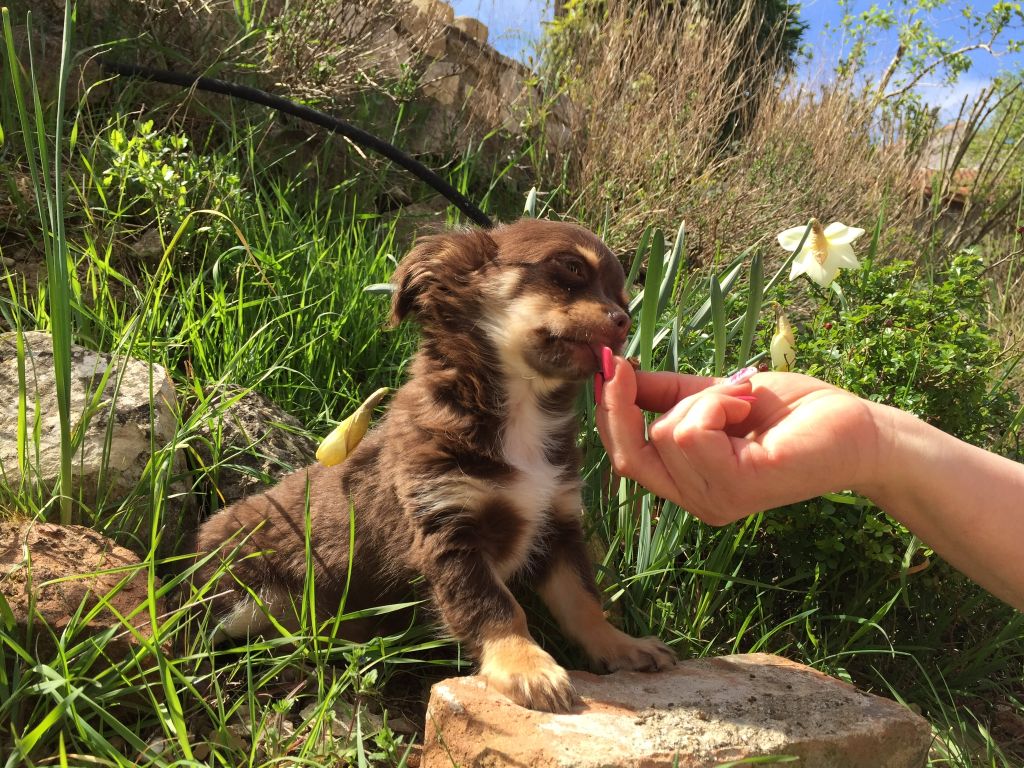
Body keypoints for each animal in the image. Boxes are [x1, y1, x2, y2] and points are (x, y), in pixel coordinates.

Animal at [197, 219, 679, 712]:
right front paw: (526, 667)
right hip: (237, 597)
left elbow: (582, 599)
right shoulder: (448, 529)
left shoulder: (557, 523)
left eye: (622, 298)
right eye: (571, 269)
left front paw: (620, 645)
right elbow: (496, 606)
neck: (522, 411)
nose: (624, 322)